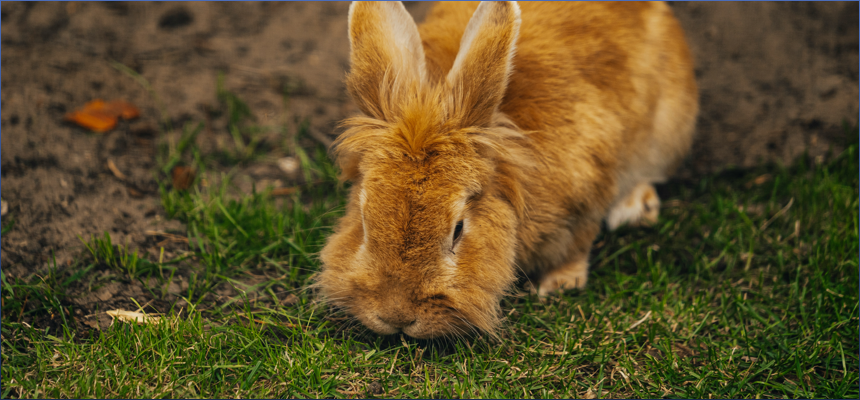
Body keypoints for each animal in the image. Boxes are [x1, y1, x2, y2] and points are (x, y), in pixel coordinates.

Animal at [316, 1, 700, 340]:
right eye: (364, 220)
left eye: (458, 229)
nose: (397, 316)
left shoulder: (588, 193)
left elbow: (577, 245)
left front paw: (559, 285)